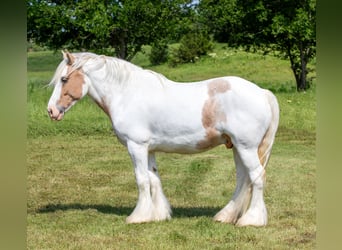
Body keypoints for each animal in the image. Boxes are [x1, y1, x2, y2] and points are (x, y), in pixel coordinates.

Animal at [46, 50, 280, 227]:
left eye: (64, 79)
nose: (51, 111)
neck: (126, 94)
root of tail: (263, 93)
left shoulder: (136, 146)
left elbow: (141, 180)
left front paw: (138, 216)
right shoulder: (148, 148)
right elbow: (153, 179)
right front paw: (158, 214)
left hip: (246, 147)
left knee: (257, 177)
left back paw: (251, 220)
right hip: (237, 148)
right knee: (243, 179)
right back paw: (225, 216)